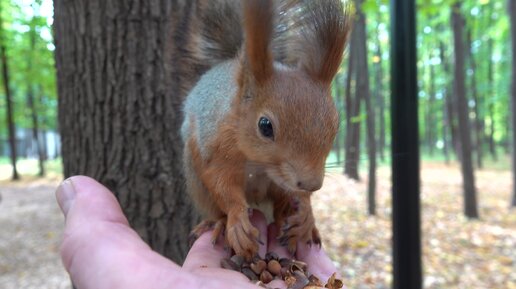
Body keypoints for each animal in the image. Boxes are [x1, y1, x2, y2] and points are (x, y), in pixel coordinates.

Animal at [180, 0, 350, 258]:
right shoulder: (218, 149)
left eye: (335, 125)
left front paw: (307, 212)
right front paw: (237, 221)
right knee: (215, 206)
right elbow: (222, 185)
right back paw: (218, 223)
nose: (312, 184)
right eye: (265, 126)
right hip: (195, 177)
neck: (259, 164)